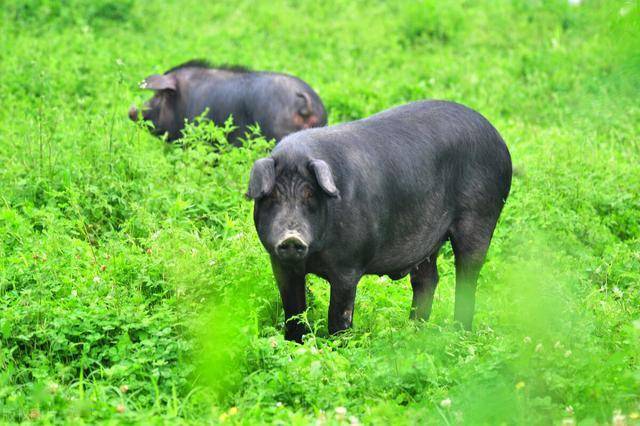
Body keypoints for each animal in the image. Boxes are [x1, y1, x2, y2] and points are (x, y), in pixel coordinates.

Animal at [245, 100, 510, 342]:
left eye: (310, 194)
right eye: (273, 195)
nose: (291, 237)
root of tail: (499, 139)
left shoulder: (348, 266)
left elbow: (339, 317)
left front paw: (340, 347)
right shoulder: (280, 264)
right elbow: (293, 312)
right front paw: (294, 346)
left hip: (481, 217)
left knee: (467, 275)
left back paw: (459, 334)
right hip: (428, 240)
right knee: (427, 279)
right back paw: (414, 333)